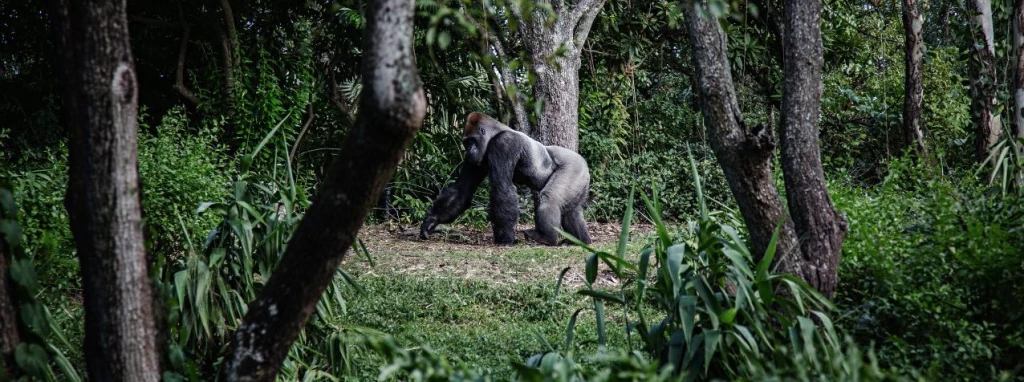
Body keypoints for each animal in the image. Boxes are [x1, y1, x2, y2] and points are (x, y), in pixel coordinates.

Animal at [417, 111, 593, 245]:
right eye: (466, 143)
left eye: (472, 141)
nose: (469, 150)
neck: (496, 132)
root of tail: (584, 163)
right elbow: (462, 190)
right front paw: (431, 220)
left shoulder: (504, 143)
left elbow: (502, 187)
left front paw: (505, 239)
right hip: (580, 177)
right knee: (571, 210)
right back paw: (580, 240)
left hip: (574, 167)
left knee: (550, 198)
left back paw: (546, 238)